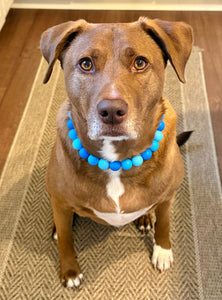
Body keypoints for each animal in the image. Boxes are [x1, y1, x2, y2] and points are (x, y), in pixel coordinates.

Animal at [40, 17, 193, 288]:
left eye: (140, 63)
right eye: (86, 64)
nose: (111, 111)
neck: (117, 161)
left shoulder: (168, 197)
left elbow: (164, 224)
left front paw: (163, 251)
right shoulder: (59, 199)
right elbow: (67, 240)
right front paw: (70, 270)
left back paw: (146, 218)